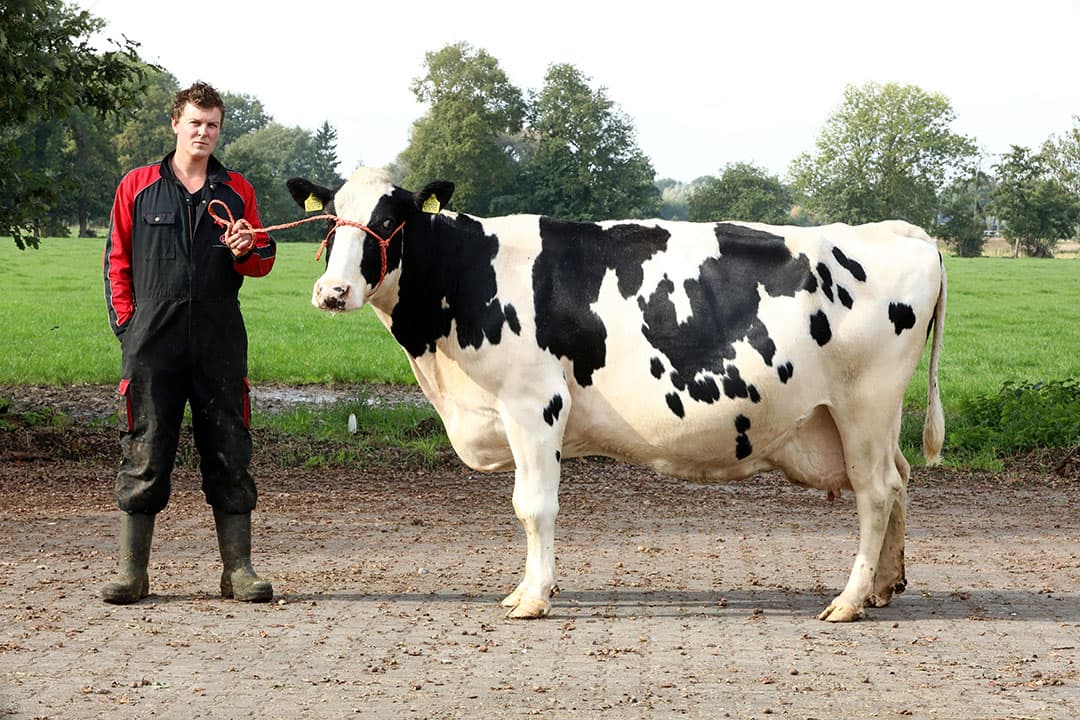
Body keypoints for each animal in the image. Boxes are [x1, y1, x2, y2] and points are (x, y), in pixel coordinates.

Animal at [287, 167, 946, 623]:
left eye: (389, 220)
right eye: (330, 221)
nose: (332, 291)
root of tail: (903, 231)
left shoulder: (534, 404)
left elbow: (533, 507)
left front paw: (532, 597)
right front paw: (527, 589)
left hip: (864, 405)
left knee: (876, 492)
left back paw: (849, 600)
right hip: (865, 418)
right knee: (901, 478)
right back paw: (884, 586)